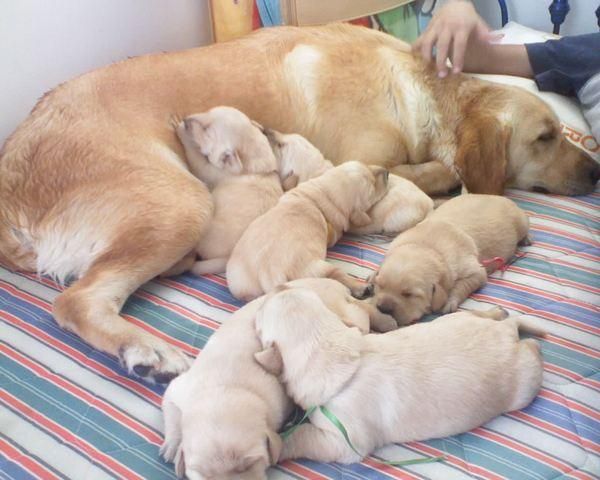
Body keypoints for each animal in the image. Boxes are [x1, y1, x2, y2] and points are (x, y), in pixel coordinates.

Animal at [159, 298, 290, 478]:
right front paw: (172, 445)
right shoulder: (179, 390)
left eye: (249, 464)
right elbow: (172, 412)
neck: (225, 387)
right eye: (204, 474)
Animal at [225, 163, 390, 302]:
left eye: (366, 165)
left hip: (240, 285)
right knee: (335, 274)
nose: (387, 172)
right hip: (314, 269)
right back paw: (361, 287)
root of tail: (268, 274)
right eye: (372, 187)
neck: (324, 193)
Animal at [255, 288, 548, 464]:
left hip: (524, 381)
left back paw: (532, 342)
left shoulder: (345, 441)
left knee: (530, 351)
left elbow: (302, 437)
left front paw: (278, 446)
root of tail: (506, 333)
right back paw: (497, 312)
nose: (279, 286)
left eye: (261, 312)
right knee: (484, 316)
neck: (331, 348)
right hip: (451, 321)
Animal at [370, 193, 528, 324]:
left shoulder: (476, 270)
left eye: (409, 294)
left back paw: (526, 240)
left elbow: (464, 284)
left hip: (521, 222)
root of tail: (497, 196)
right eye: (380, 285)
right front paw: (371, 277)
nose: (383, 309)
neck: (425, 246)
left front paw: (449, 301)